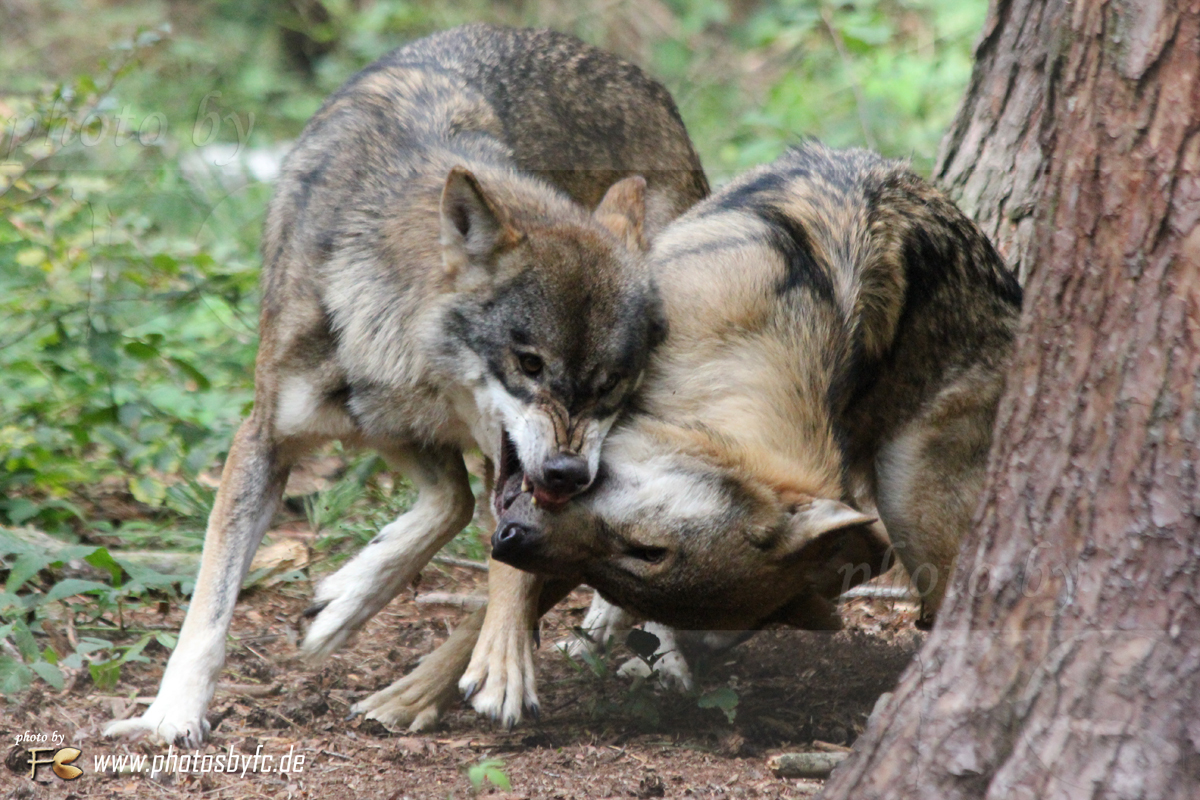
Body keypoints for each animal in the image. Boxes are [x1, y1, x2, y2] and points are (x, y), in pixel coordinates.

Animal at [103, 25, 705, 753]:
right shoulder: (272, 436)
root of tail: (643, 81)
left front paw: (502, 666)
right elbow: (211, 605)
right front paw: (173, 714)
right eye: (529, 364)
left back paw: (657, 657)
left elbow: (501, 552)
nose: (566, 475)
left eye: (611, 384)